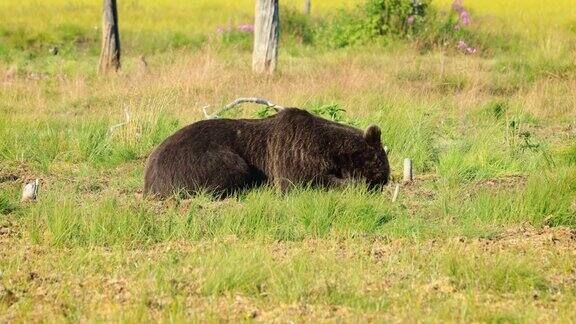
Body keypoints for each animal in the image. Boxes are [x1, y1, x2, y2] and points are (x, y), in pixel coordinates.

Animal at [143, 107, 390, 197]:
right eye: (380, 164)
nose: (384, 180)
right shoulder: (294, 153)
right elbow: (302, 180)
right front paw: (355, 184)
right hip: (199, 160)